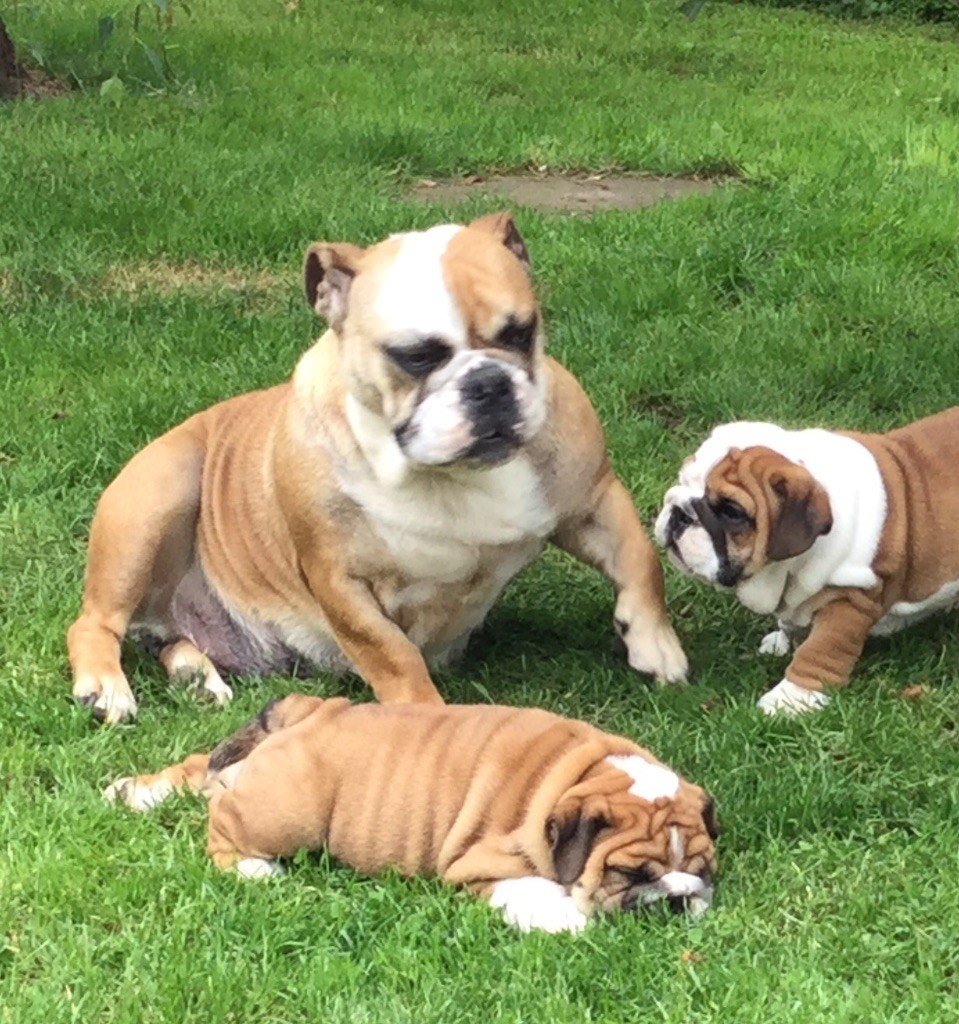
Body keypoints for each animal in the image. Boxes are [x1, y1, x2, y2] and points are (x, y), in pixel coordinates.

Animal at [68, 213, 687, 724]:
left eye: (520, 332)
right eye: (415, 356)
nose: (488, 383)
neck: (450, 472)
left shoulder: (593, 497)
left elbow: (640, 560)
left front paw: (654, 643)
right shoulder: (340, 581)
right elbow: (391, 654)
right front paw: (424, 716)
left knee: (167, 640)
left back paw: (198, 678)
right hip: (157, 494)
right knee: (96, 620)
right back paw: (106, 687)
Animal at [104, 696, 718, 932]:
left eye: (704, 871)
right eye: (631, 874)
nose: (680, 898)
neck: (583, 775)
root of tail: (313, 710)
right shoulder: (482, 868)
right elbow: (540, 893)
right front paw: (572, 919)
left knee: (203, 772)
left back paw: (134, 792)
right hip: (286, 813)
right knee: (221, 821)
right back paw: (258, 871)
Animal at [655, 411, 959, 714]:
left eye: (732, 511)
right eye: (683, 481)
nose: (680, 512)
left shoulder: (850, 599)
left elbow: (820, 649)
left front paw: (791, 697)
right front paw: (782, 641)